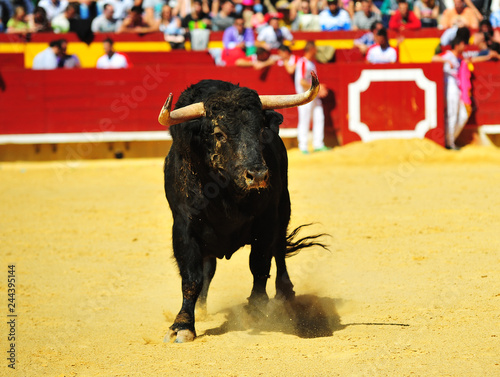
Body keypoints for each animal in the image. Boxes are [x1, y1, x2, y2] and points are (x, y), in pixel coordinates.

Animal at [158, 75, 326, 342]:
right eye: (218, 133)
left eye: (261, 130)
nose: (257, 175)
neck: (225, 192)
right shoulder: (183, 226)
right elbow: (192, 277)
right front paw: (182, 325)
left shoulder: (267, 220)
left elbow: (259, 264)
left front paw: (257, 310)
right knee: (208, 269)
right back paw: (202, 309)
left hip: (284, 208)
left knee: (279, 251)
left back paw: (285, 294)